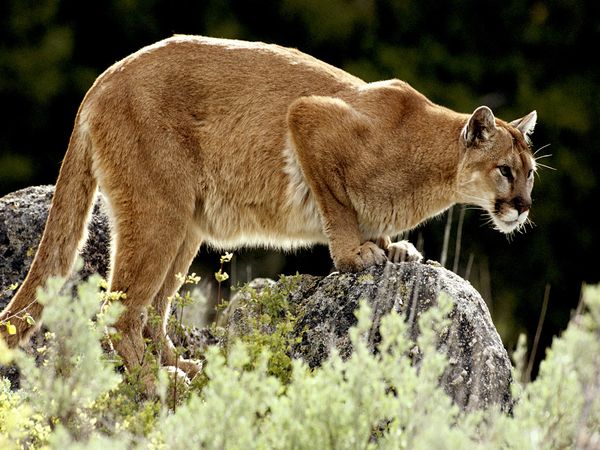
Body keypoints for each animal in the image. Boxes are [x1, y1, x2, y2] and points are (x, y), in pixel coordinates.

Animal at [0, 37, 536, 380]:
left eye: (531, 173)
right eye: (505, 170)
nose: (524, 208)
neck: (432, 165)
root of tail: (103, 78)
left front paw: (392, 247)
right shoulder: (309, 118)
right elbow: (338, 206)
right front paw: (356, 255)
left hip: (186, 224)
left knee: (154, 308)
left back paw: (179, 365)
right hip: (158, 212)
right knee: (121, 313)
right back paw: (159, 388)